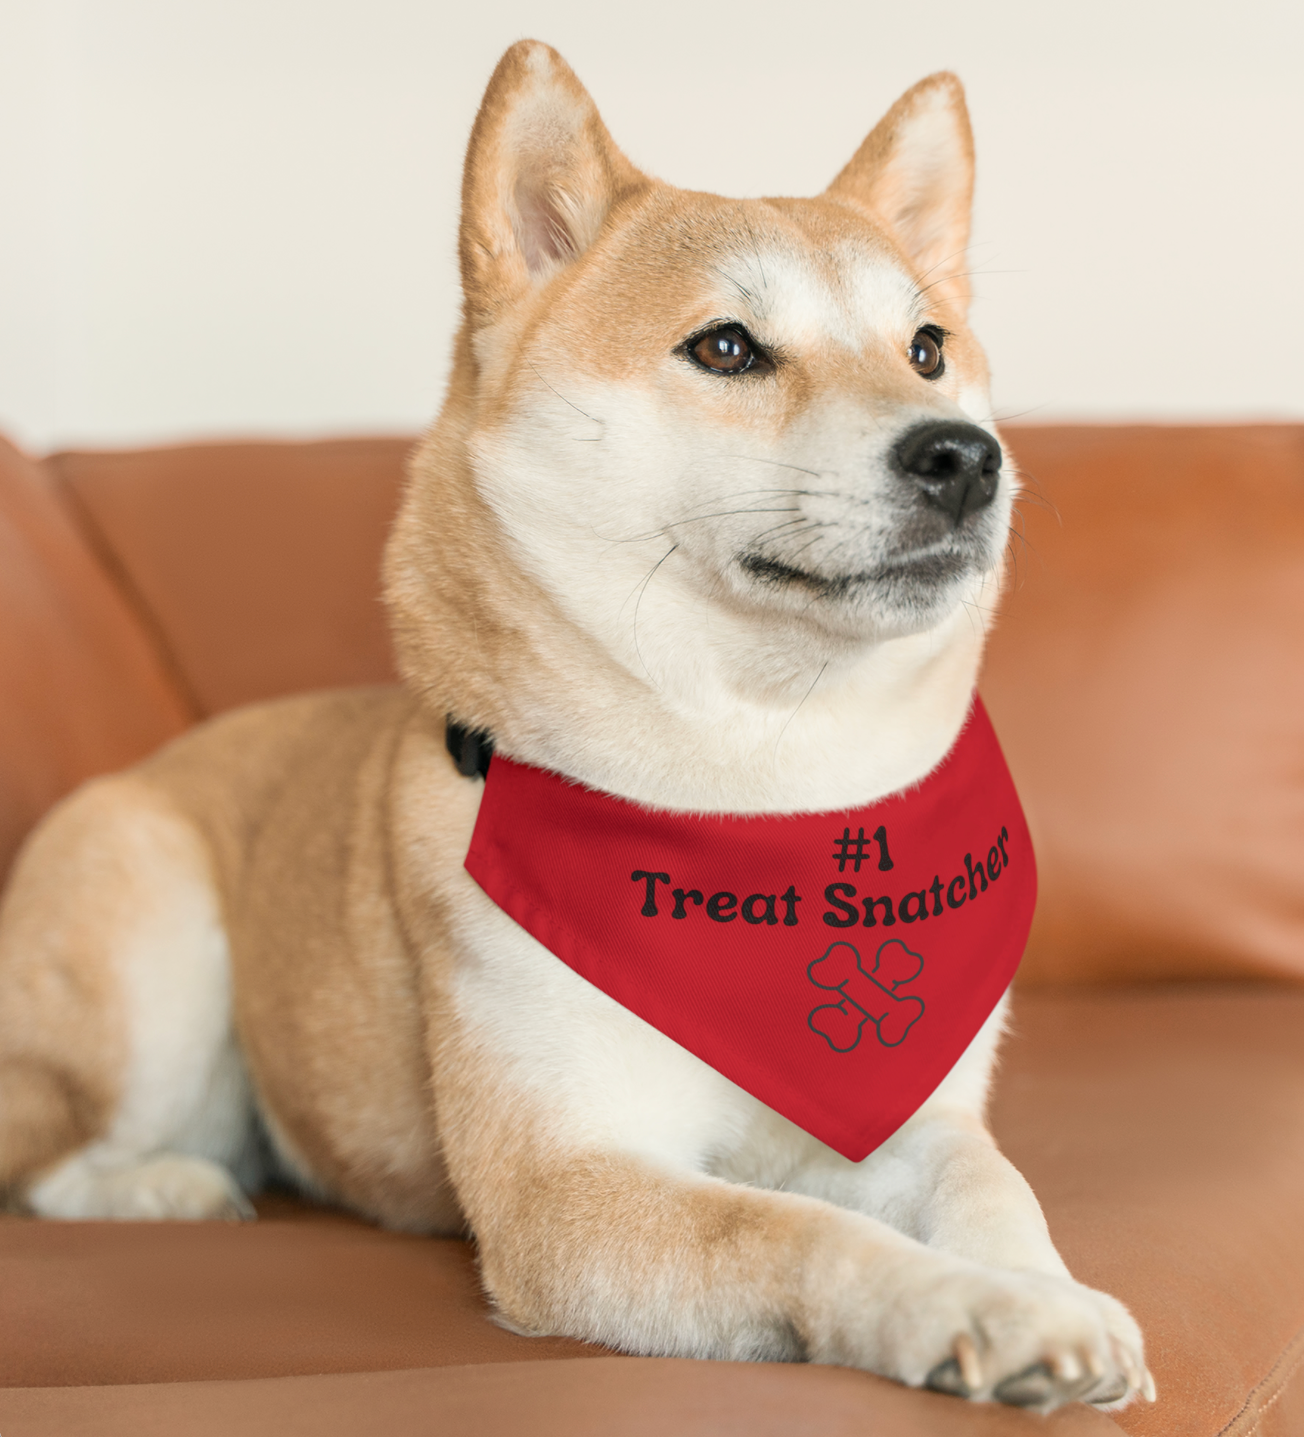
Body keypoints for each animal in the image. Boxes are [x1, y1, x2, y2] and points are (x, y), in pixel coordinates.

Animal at [0, 39, 1150, 1408]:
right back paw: (170, 1186)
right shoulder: (564, 1188)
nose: (965, 457)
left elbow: (990, 1185)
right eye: (726, 347)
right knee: (51, 1159)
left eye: (926, 347)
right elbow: (800, 1232)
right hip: (151, 949)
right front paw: (970, 1307)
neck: (761, 795)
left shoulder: (911, 1112)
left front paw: (1045, 1289)